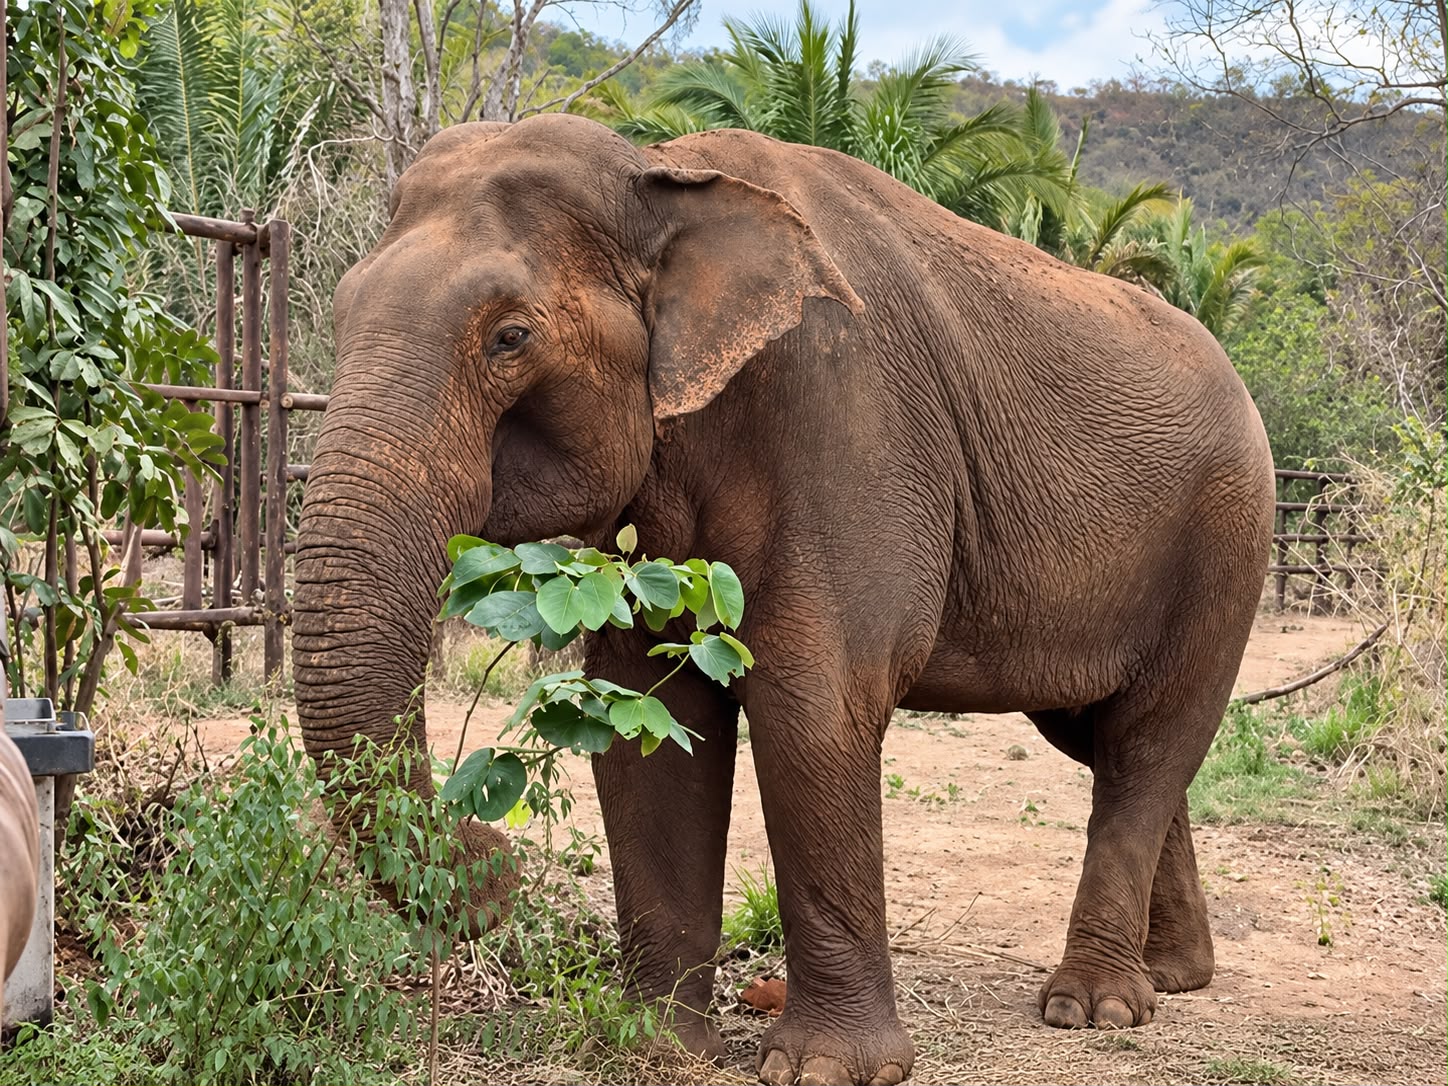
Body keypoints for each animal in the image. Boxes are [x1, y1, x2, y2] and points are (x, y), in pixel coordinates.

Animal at [292, 113, 1274, 1086]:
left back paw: (1093, 1008)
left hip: (1230, 540)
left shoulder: (845, 419)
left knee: (1151, 737)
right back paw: (1173, 977)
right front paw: (657, 1049)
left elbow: (813, 704)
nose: (495, 867)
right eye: (337, 311)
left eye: (510, 337)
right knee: (1101, 738)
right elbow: (648, 716)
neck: (662, 174)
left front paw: (827, 1070)